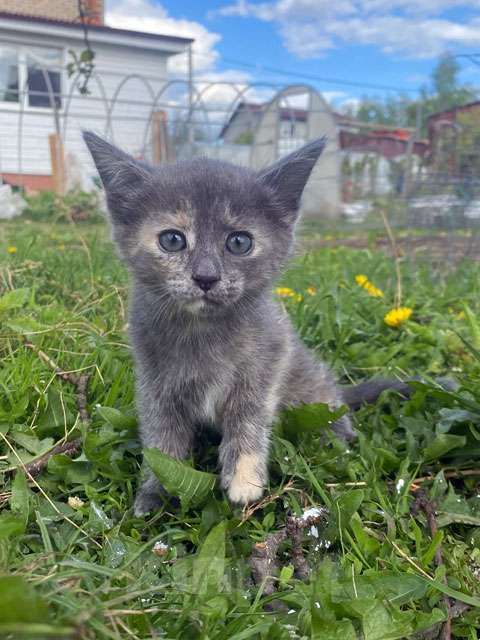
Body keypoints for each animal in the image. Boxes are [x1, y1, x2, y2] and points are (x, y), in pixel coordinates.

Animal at [84, 135, 406, 516]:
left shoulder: (270, 355)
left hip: (315, 392)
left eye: (239, 242)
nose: (206, 277)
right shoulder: (153, 378)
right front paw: (155, 491)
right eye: (172, 240)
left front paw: (243, 478)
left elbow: (249, 415)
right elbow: (161, 434)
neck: (204, 331)